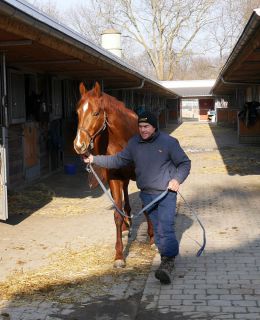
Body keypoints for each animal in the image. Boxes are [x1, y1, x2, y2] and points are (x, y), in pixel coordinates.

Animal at [73, 82, 154, 268]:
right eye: (77, 112)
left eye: (96, 113)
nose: (79, 145)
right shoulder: (114, 179)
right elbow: (117, 214)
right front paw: (119, 255)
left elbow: (148, 206)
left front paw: (153, 238)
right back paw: (126, 225)